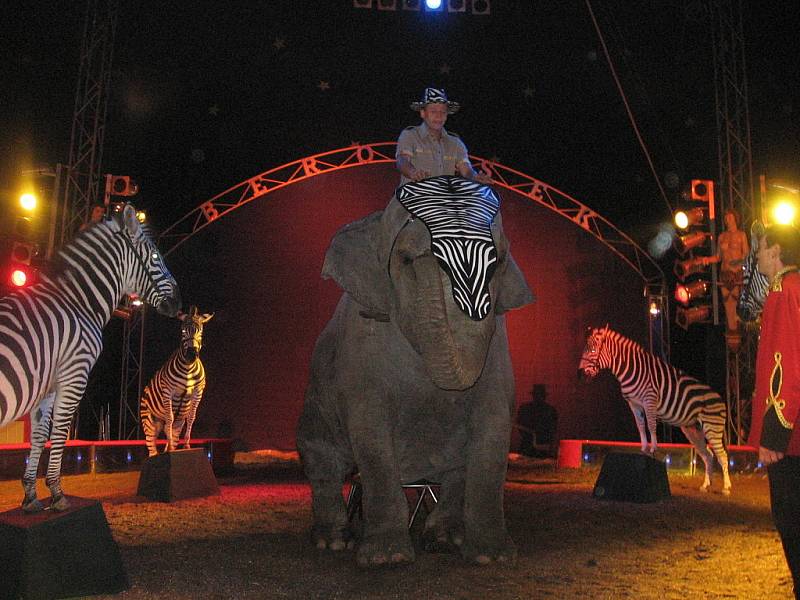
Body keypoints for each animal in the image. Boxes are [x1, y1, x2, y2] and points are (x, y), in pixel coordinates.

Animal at [0, 205, 181, 510]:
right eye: (156, 257)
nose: (179, 302)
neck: (78, 302)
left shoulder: (48, 386)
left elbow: (39, 434)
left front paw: (30, 496)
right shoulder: (75, 374)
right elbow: (60, 432)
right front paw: (57, 493)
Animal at [140, 308, 212, 458]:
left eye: (201, 332)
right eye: (183, 331)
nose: (191, 355)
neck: (188, 368)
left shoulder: (198, 392)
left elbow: (191, 418)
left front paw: (186, 445)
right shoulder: (168, 391)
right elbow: (170, 417)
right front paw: (172, 450)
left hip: (175, 422)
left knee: (170, 430)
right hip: (148, 421)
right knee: (152, 446)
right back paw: (158, 454)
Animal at [580, 326, 736, 494]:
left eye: (593, 350)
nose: (579, 374)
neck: (630, 369)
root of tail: (721, 399)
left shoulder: (650, 400)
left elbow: (651, 425)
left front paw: (653, 449)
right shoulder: (634, 404)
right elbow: (641, 426)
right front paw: (643, 449)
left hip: (712, 427)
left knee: (722, 456)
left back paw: (726, 487)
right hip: (694, 430)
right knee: (708, 455)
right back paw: (706, 485)